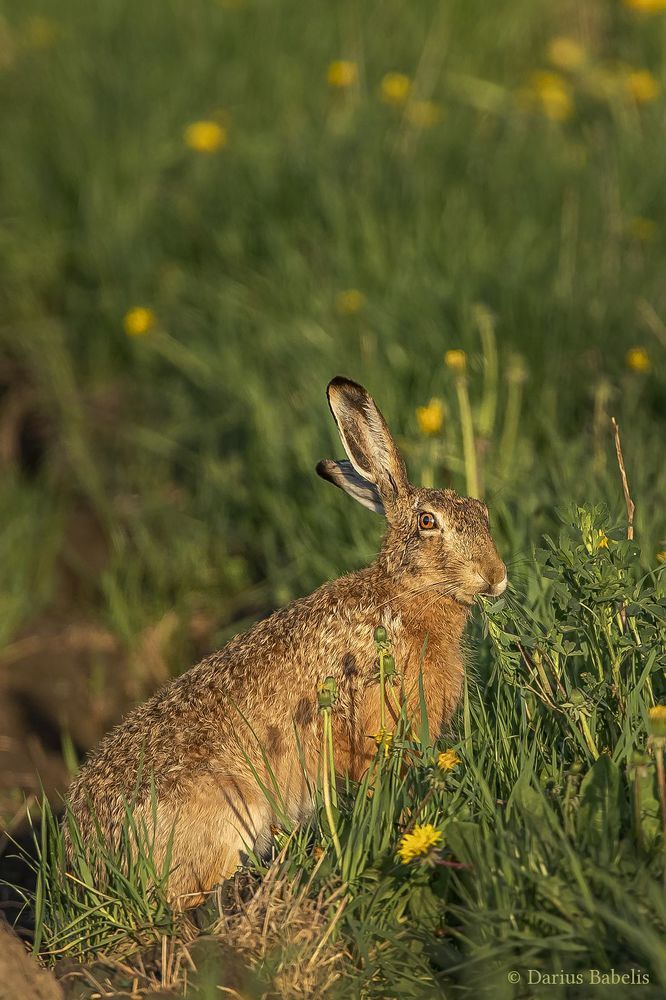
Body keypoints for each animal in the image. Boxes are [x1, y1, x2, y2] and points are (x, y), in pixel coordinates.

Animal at [65, 376, 506, 905]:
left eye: (482, 511)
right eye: (427, 522)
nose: (496, 577)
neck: (404, 595)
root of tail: (93, 863)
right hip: (229, 811)